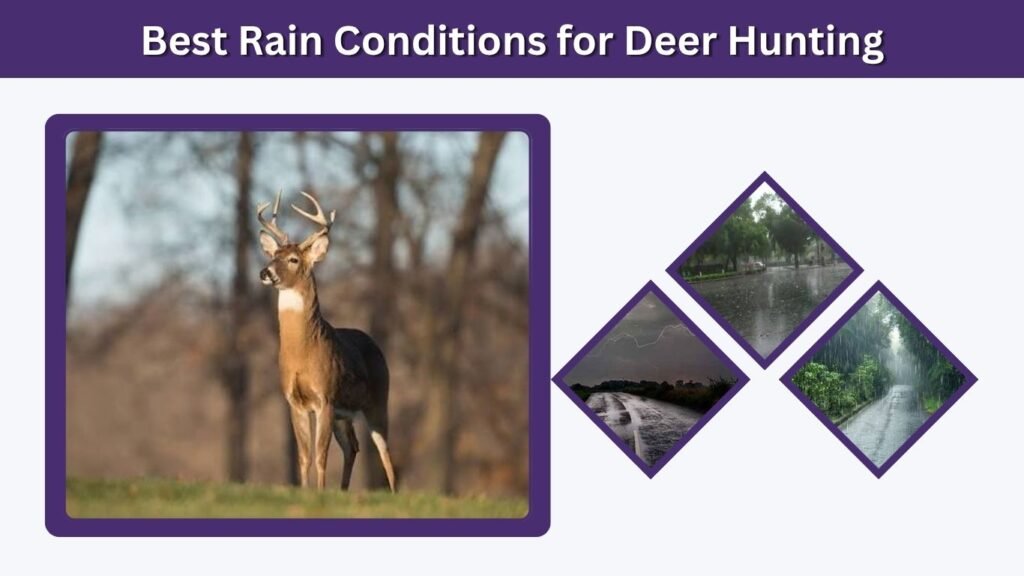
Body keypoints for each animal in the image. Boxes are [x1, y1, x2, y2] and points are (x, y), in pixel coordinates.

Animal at [256, 191, 396, 493]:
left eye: (294, 259)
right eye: (274, 255)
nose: (265, 272)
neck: (302, 353)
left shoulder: (326, 397)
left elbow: (320, 455)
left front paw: (319, 492)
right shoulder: (294, 400)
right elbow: (304, 455)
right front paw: (306, 492)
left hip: (378, 399)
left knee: (384, 451)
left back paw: (393, 493)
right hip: (345, 415)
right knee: (353, 447)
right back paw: (343, 491)